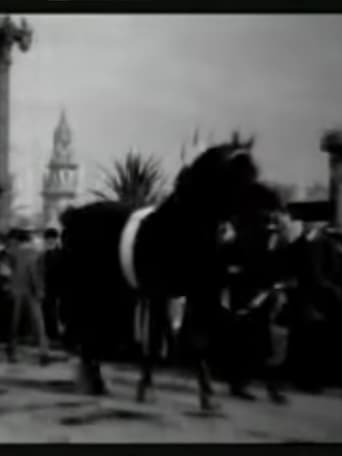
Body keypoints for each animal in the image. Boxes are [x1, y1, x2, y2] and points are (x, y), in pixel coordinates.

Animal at [60, 134, 284, 410]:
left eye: (254, 169)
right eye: (239, 171)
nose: (271, 209)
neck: (178, 227)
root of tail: (73, 215)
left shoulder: (199, 294)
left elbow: (198, 341)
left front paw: (207, 395)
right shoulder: (158, 293)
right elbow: (155, 339)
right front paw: (146, 388)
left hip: (111, 290)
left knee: (96, 329)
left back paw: (96, 381)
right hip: (85, 286)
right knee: (86, 328)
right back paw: (91, 380)